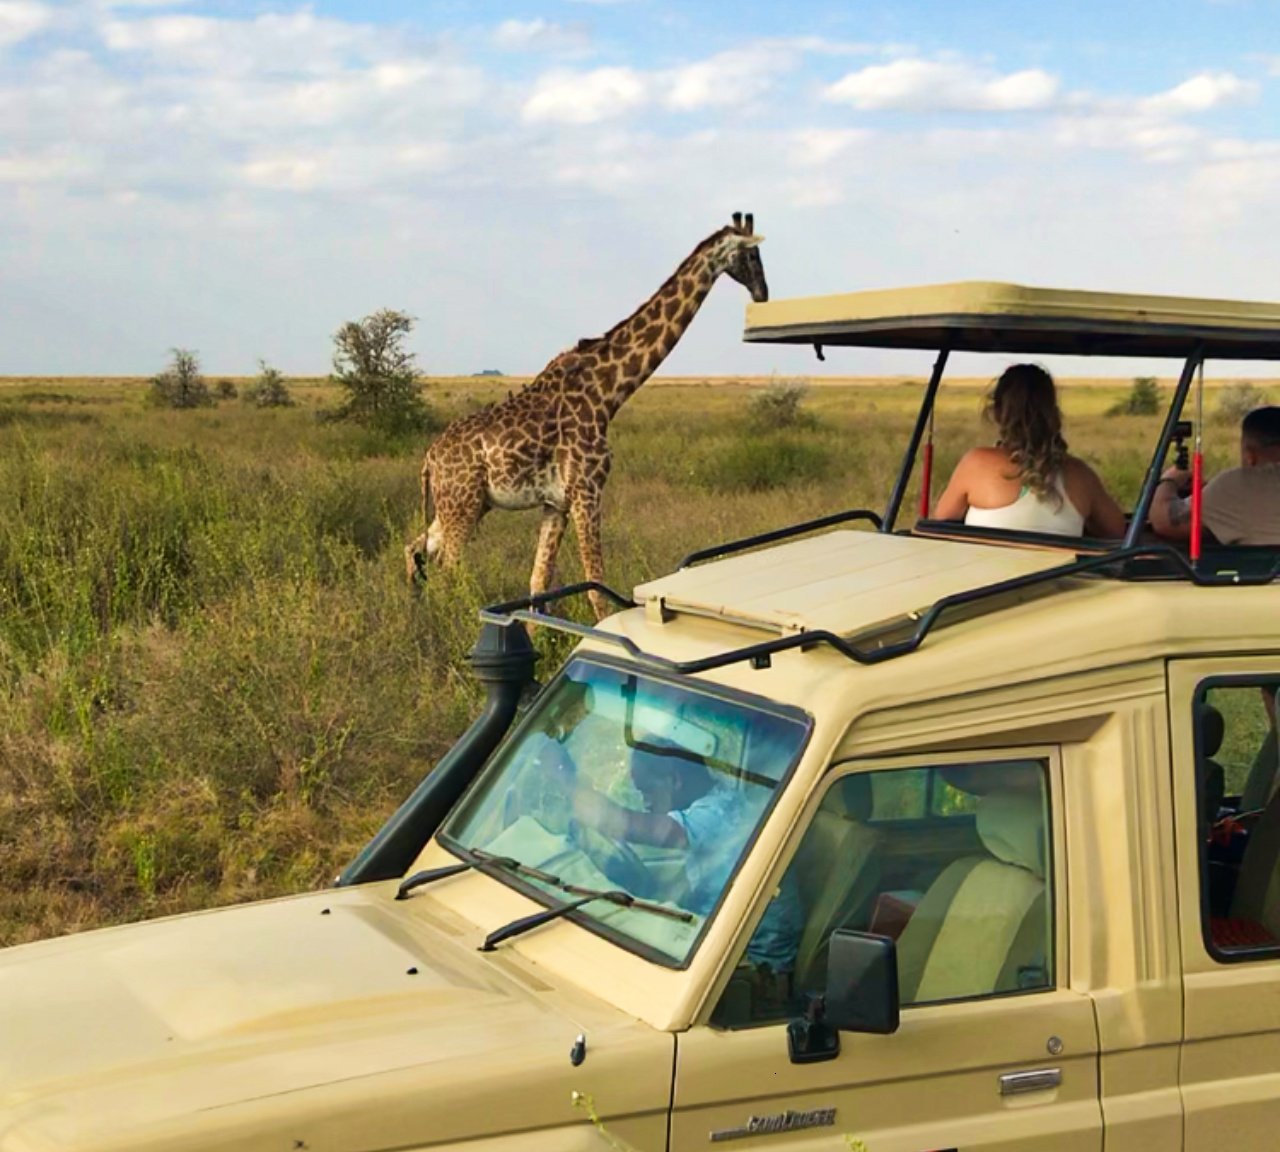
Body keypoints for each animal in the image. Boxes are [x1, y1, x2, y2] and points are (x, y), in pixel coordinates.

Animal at [405, 212, 768, 620]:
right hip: (463, 506)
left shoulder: (556, 503)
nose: (762, 292)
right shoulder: (587, 490)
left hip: (463, 505)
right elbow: (596, 588)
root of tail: (429, 459)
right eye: (752, 254)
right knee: (446, 570)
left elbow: (538, 585)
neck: (607, 393)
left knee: (415, 549)